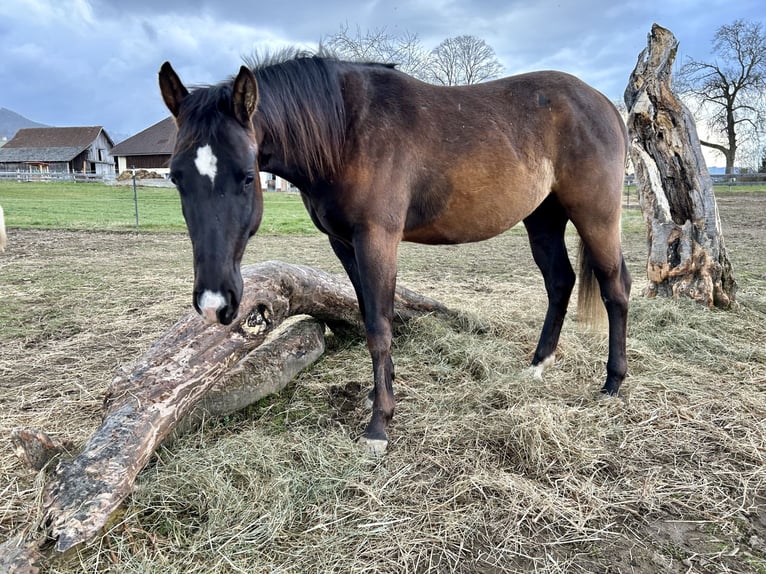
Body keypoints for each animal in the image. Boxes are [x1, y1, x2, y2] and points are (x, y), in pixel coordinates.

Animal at [159, 53, 632, 454]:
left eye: (245, 175)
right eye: (176, 176)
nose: (214, 303)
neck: (346, 131)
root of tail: (605, 105)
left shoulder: (377, 239)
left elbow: (379, 326)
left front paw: (378, 425)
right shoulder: (344, 244)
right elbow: (370, 312)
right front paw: (380, 392)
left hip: (596, 216)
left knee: (615, 289)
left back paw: (612, 384)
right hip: (543, 218)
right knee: (560, 282)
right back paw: (537, 366)